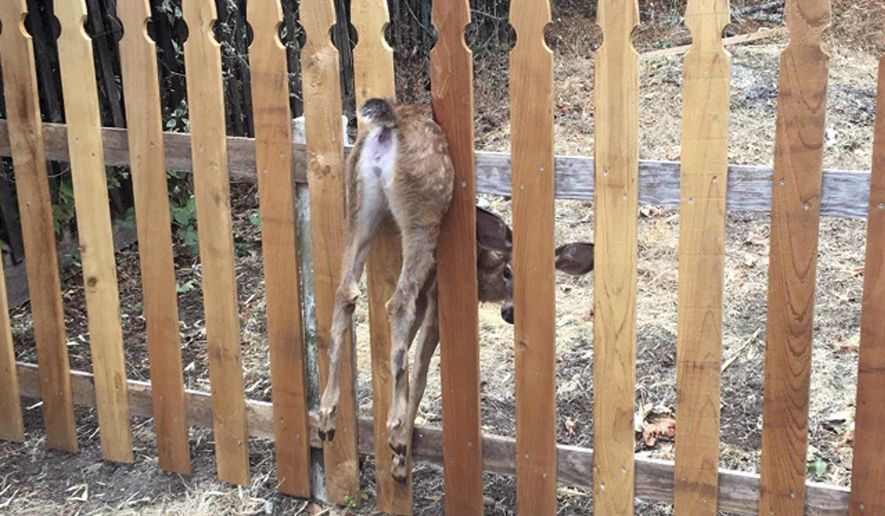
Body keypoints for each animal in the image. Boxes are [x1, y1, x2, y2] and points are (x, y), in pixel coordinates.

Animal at [316, 98, 595, 482]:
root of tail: (390, 121)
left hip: (361, 202)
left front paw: (398, 454)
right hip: (422, 213)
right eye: (508, 270)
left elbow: (404, 357)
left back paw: (327, 414)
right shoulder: (435, 295)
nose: (510, 313)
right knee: (397, 303)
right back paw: (392, 426)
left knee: (345, 291)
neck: (480, 267)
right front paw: (400, 447)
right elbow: (419, 367)